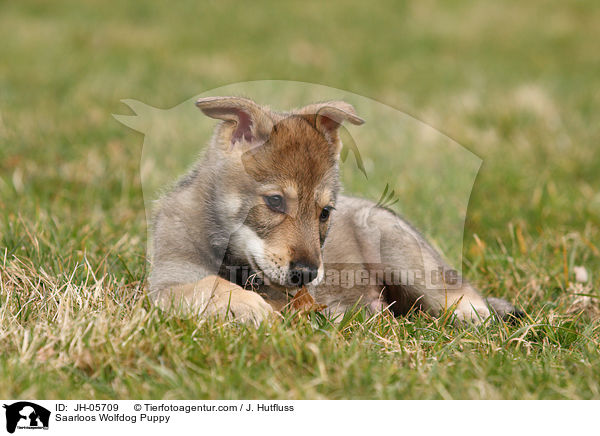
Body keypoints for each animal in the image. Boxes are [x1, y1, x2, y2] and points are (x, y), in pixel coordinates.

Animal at [149, 97, 520, 326]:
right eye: (275, 201)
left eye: (325, 212)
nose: (307, 274)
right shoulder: (165, 283)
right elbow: (206, 285)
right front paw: (246, 306)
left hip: (406, 259)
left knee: (464, 298)